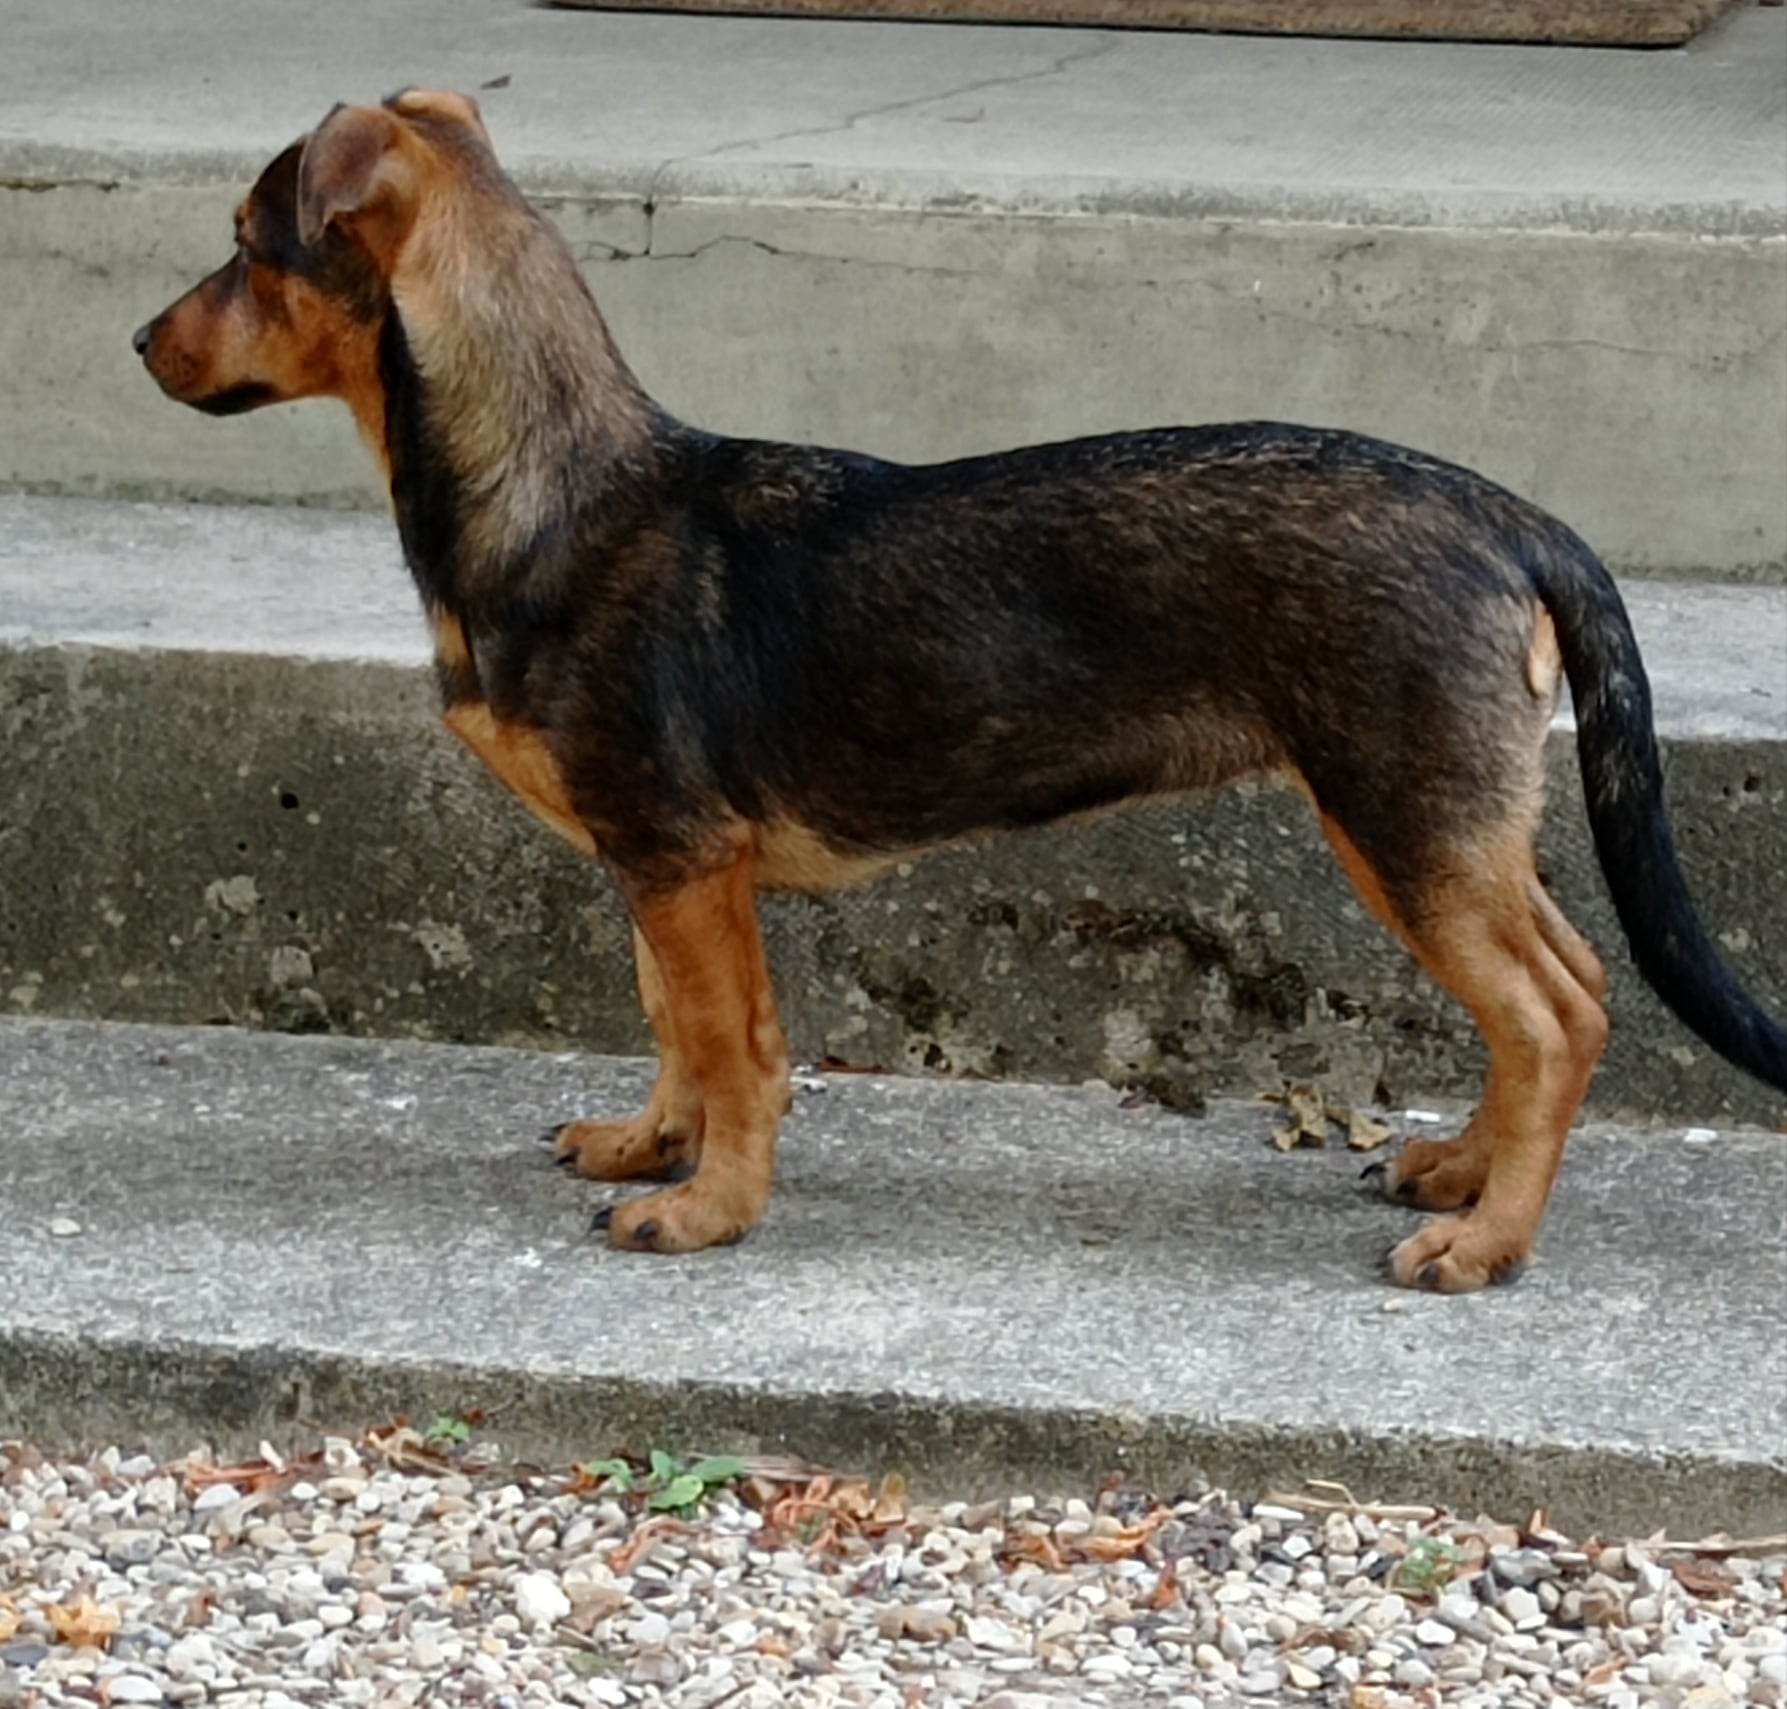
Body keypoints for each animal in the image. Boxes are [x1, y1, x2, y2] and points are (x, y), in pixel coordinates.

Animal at [132, 90, 1779, 1279]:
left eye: (247, 242)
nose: (140, 339)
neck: (555, 493)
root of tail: (1513, 516)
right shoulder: (652, 866)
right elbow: (672, 1025)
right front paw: (651, 1148)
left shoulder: (677, 854)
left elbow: (733, 1046)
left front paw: (706, 1212)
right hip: (1429, 824)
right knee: (1562, 987)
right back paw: (1461, 1168)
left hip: (1403, 816)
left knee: (1555, 1017)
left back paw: (1482, 1242)